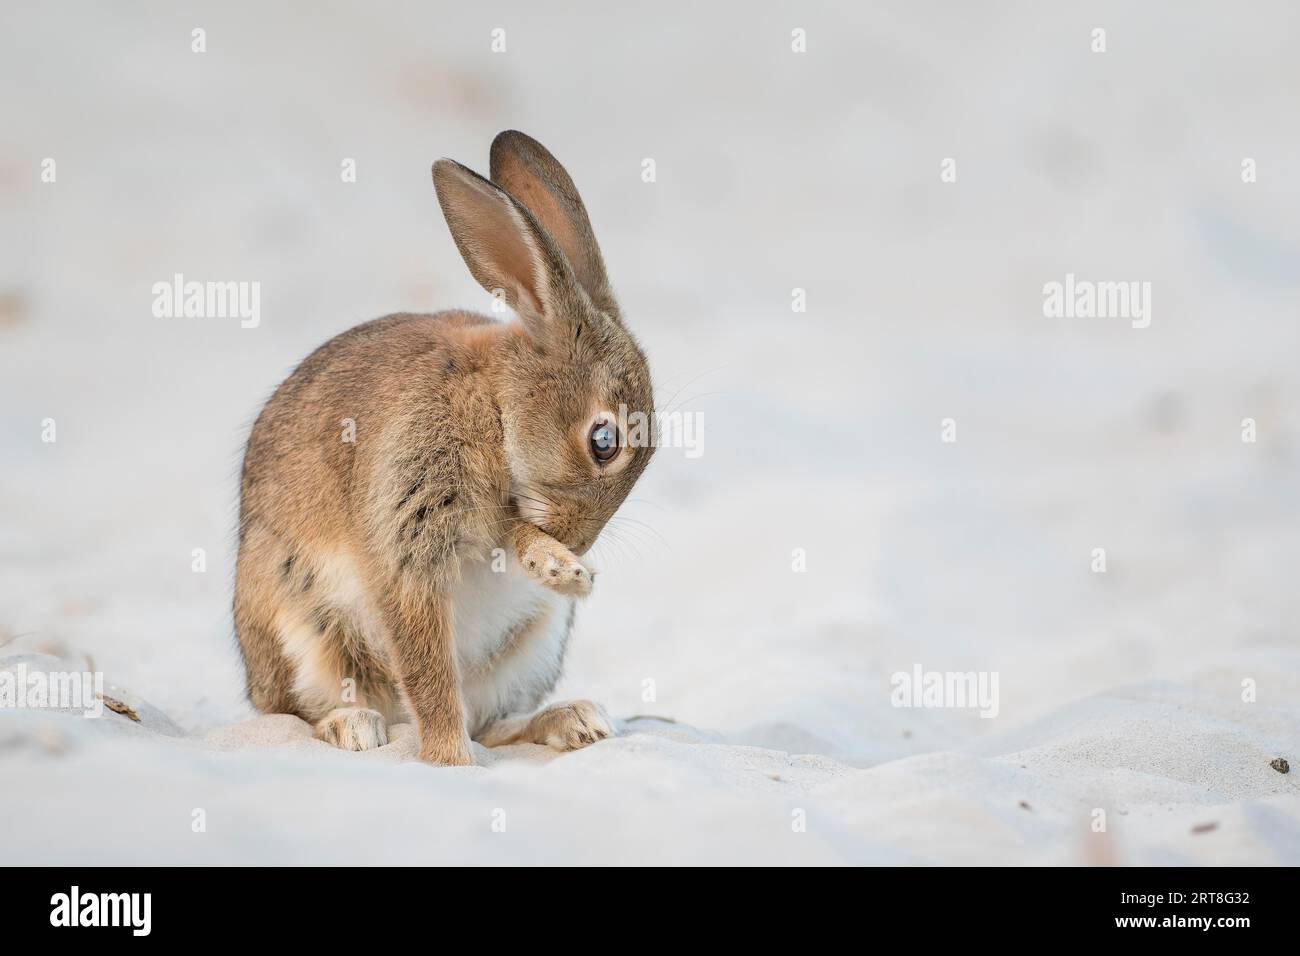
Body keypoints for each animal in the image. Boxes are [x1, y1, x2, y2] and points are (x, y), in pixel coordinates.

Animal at [233, 131, 655, 765]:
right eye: (604, 441)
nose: (579, 544)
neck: (493, 405)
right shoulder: (411, 528)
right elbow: (428, 668)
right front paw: (450, 759)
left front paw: (565, 571)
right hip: (300, 625)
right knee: (295, 711)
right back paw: (352, 726)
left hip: (533, 645)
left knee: (492, 720)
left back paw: (573, 721)